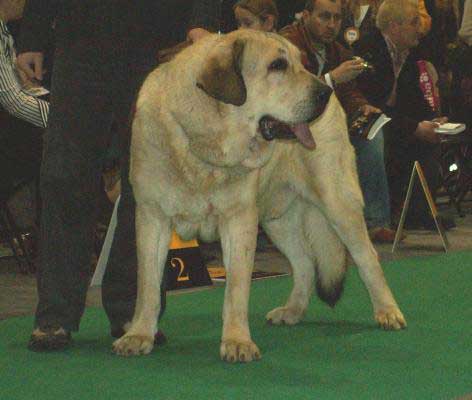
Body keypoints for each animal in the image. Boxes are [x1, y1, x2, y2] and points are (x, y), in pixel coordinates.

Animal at [111, 30, 406, 362]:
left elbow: (237, 288)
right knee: (304, 263)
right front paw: (138, 333)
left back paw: (387, 311)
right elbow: (147, 285)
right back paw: (293, 310)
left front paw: (237, 340)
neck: (202, 144)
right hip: (277, 219)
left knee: (367, 258)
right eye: (277, 66)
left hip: (336, 201)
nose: (324, 93)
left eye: (300, 62)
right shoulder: (152, 218)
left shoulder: (239, 220)